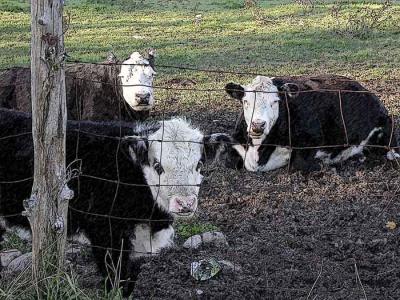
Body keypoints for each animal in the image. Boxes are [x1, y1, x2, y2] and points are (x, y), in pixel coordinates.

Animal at [0, 108, 230, 296]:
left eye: (199, 164)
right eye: (158, 166)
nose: (185, 203)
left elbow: (129, 282)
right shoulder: (106, 235)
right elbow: (115, 281)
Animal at [223, 74, 398, 172]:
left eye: (275, 101)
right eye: (245, 101)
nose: (258, 125)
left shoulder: (312, 139)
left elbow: (299, 164)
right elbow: (230, 159)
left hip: (385, 122)